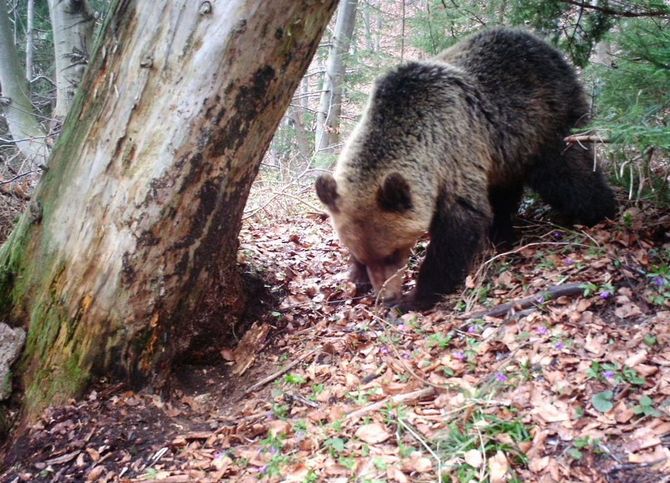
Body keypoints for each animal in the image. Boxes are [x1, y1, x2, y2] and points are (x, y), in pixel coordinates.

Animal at [318, 27, 616, 310]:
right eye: (364, 254)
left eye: (394, 252)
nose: (386, 296)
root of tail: (547, 47)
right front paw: (356, 276)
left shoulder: (454, 150)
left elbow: (459, 224)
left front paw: (417, 296)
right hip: (505, 152)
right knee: (505, 192)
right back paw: (502, 234)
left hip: (545, 121)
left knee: (568, 173)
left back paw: (598, 212)